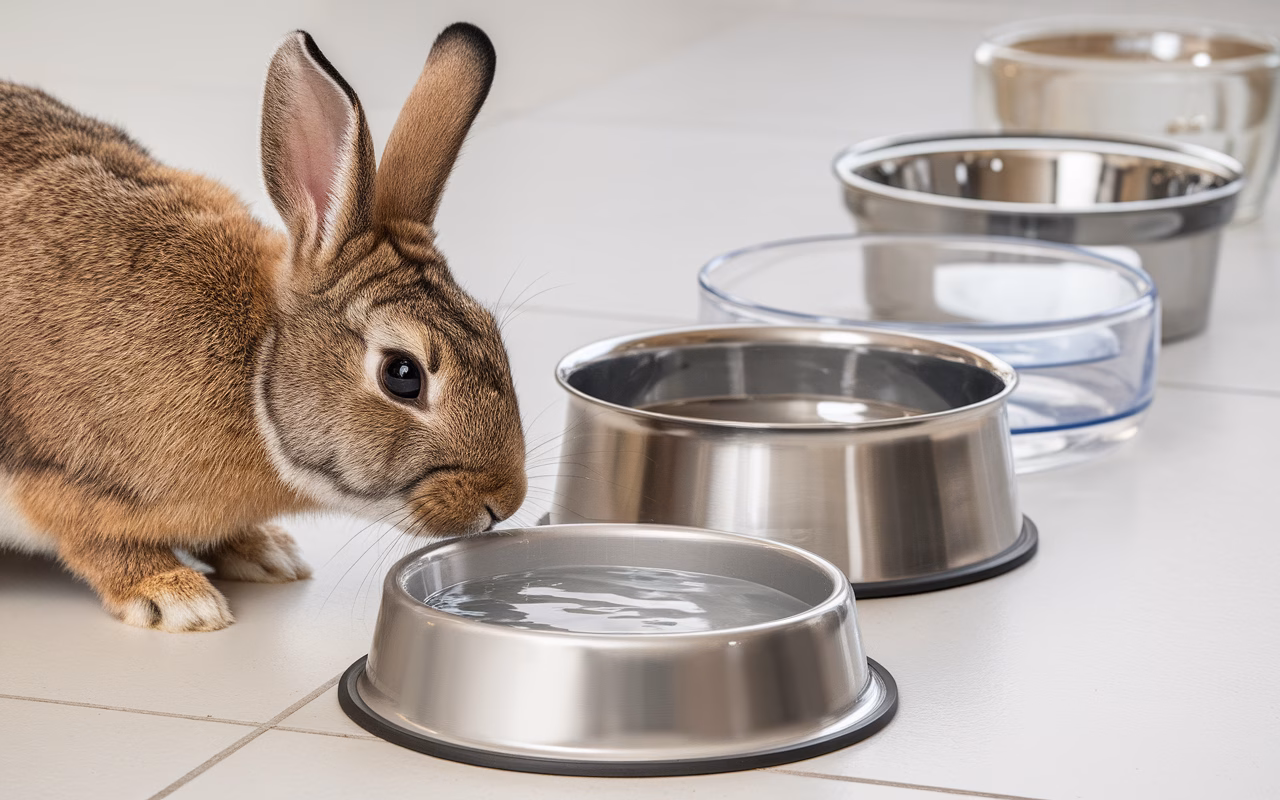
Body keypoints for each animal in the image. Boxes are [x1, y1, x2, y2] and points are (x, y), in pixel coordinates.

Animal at [0, 23, 527, 632]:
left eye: (493, 332)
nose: (506, 501)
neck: (255, 368)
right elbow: (100, 543)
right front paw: (178, 598)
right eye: (403, 375)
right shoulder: (63, 479)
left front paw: (266, 553)